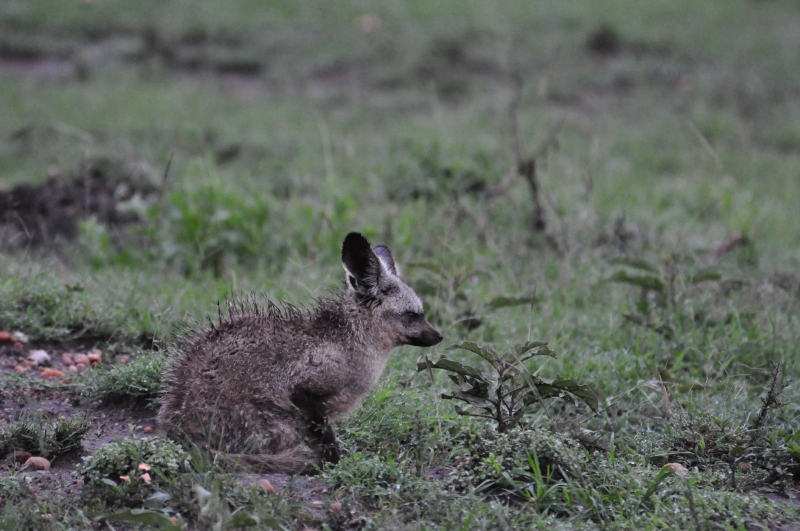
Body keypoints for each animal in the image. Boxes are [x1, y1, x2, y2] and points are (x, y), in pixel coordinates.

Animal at [157, 232, 442, 473]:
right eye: (412, 315)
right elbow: (328, 443)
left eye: (423, 313)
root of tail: (183, 433)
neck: (347, 340)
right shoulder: (304, 393)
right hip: (285, 423)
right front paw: (334, 463)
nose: (440, 336)